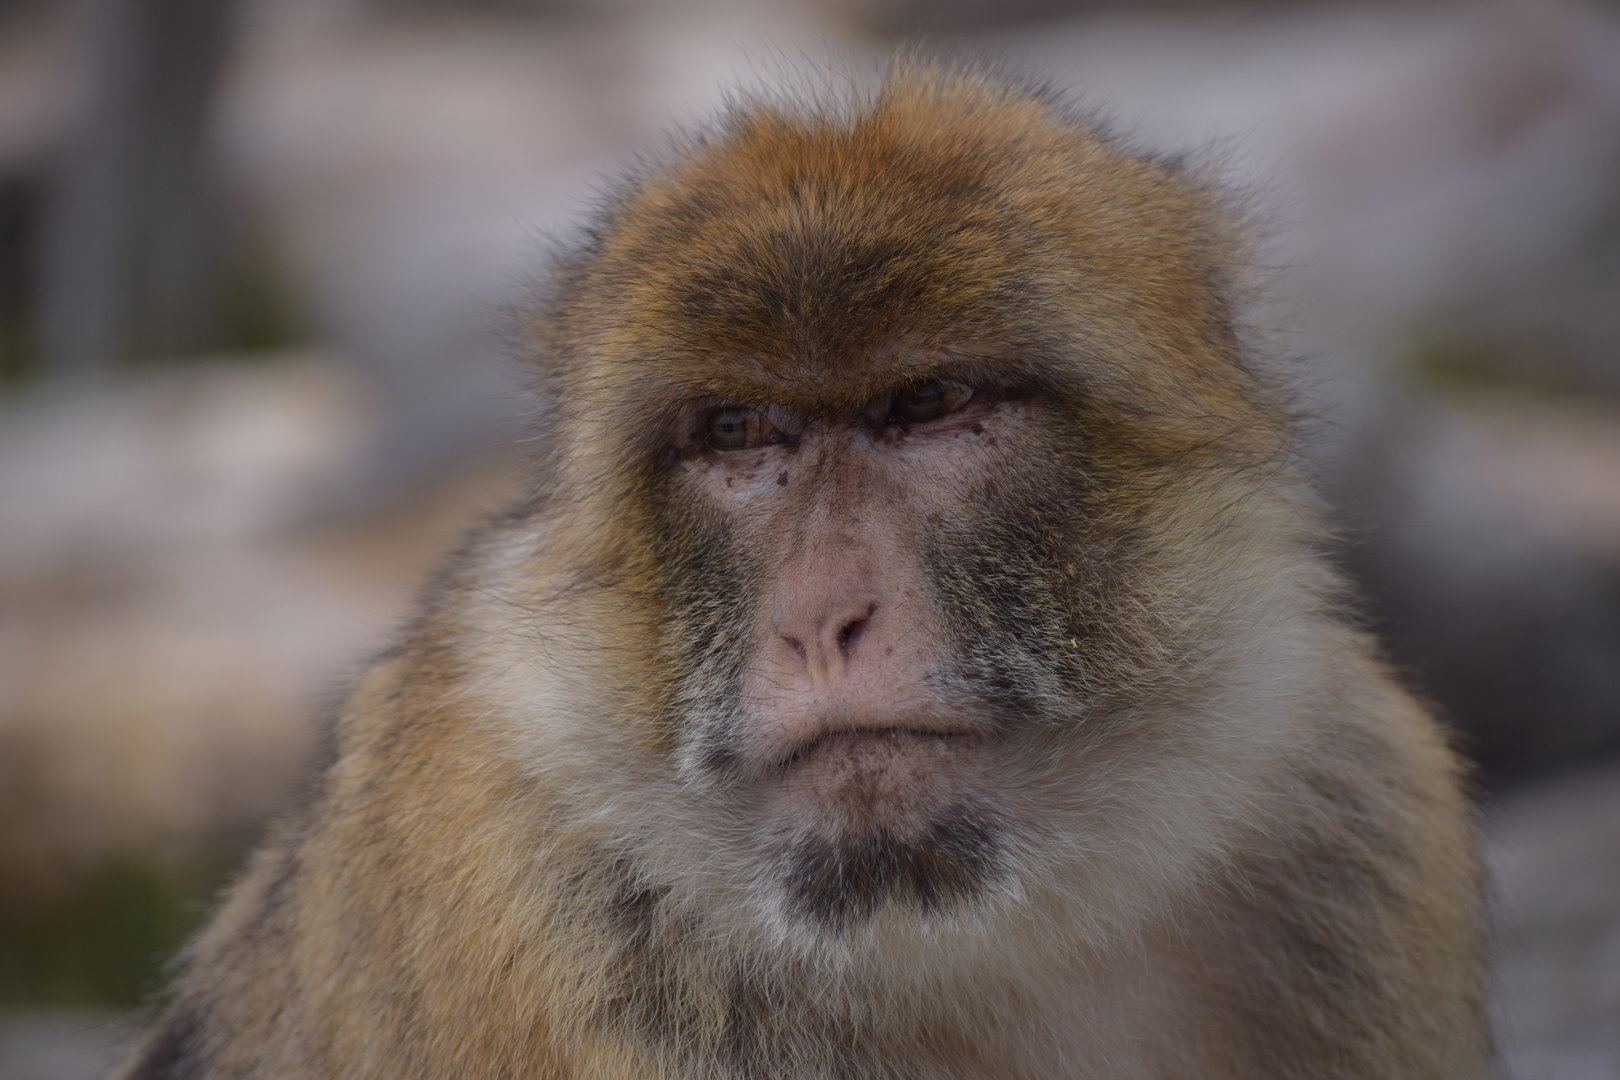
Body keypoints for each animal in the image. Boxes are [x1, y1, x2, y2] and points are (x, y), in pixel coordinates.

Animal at [115, 65, 1488, 1079]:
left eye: (929, 405)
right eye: (740, 433)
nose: (826, 619)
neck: (963, 931)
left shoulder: (1363, 827)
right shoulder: (534, 897)